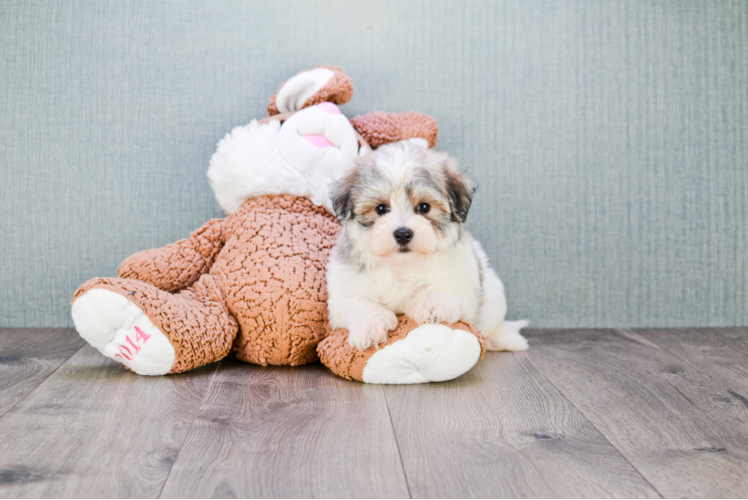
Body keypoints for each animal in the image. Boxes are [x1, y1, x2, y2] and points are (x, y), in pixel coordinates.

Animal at [326, 141, 524, 352]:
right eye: (380, 209)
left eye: (424, 207)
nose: (403, 233)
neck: (402, 265)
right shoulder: (342, 294)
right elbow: (358, 303)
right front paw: (370, 327)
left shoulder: (464, 284)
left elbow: (441, 288)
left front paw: (432, 306)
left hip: (494, 294)